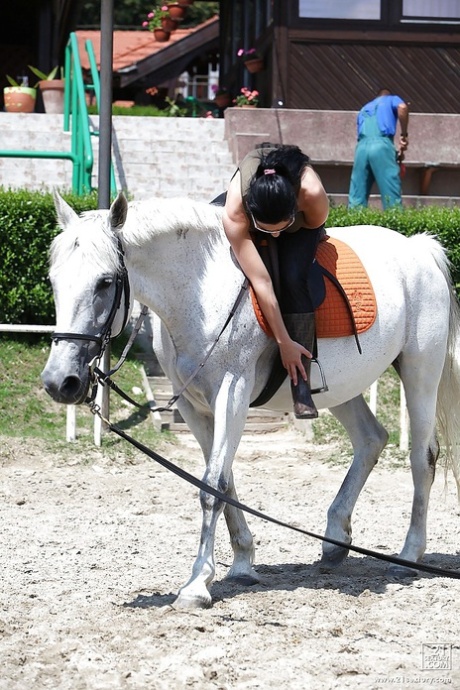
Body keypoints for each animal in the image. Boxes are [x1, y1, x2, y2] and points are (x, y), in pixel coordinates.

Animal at [41, 192, 460, 609]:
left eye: (105, 282)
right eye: (53, 281)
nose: (60, 381)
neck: (201, 287)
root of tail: (419, 247)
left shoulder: (233, 391)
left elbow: (211, 485)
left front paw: (196, 584)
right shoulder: (193, 406)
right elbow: (222, 483)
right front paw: (241, 564)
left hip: (420, 371)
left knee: (422, 457)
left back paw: (409, 555)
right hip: (342, 387)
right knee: (371, 439)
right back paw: (335, 540)